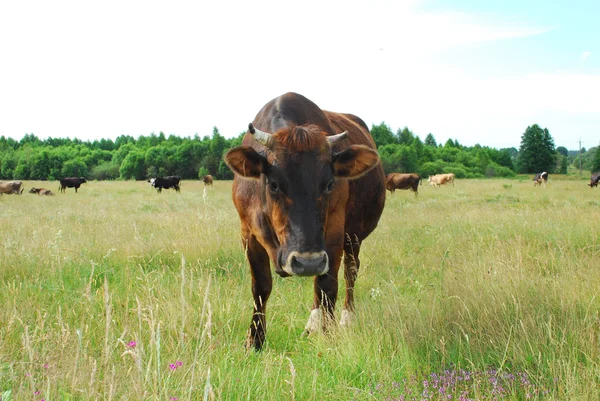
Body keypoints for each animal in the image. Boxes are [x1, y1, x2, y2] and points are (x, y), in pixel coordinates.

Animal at [224, 92, 384, 348]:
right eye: (274, 184)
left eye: (329, 184)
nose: (308, 262)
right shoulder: (247, 232)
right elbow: (260, 286)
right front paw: (255, 339)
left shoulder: (334, 233)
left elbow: (328, 286)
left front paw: (328, 337)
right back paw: (312, 326)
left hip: (354, 236)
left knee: (349, 271)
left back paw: (344, 319)